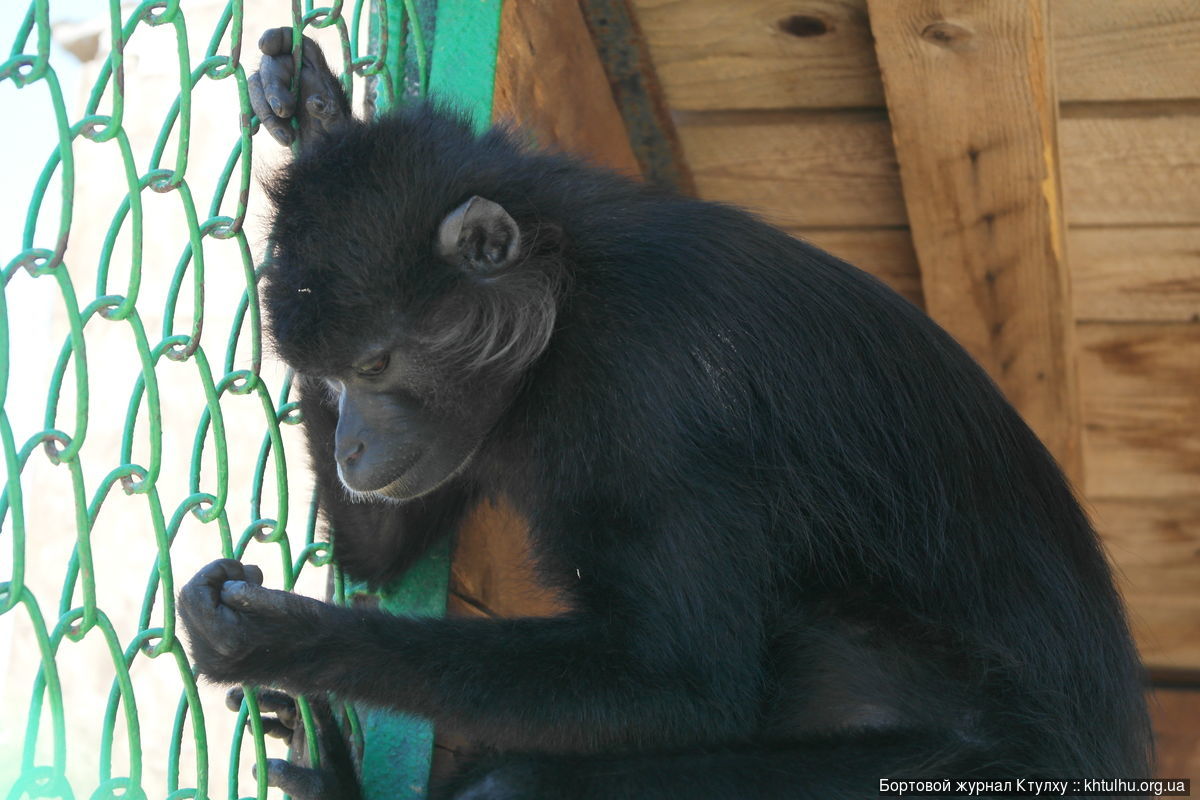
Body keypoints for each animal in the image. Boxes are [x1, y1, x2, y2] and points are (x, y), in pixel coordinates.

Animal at [177, 28, 1152, 796]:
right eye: (331, 378)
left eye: (375, 366)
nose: (351, 444)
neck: (568, 303)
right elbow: (383, 551)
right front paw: (318, 113)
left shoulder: (659, 389)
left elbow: (686, 688)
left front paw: (279, 640)